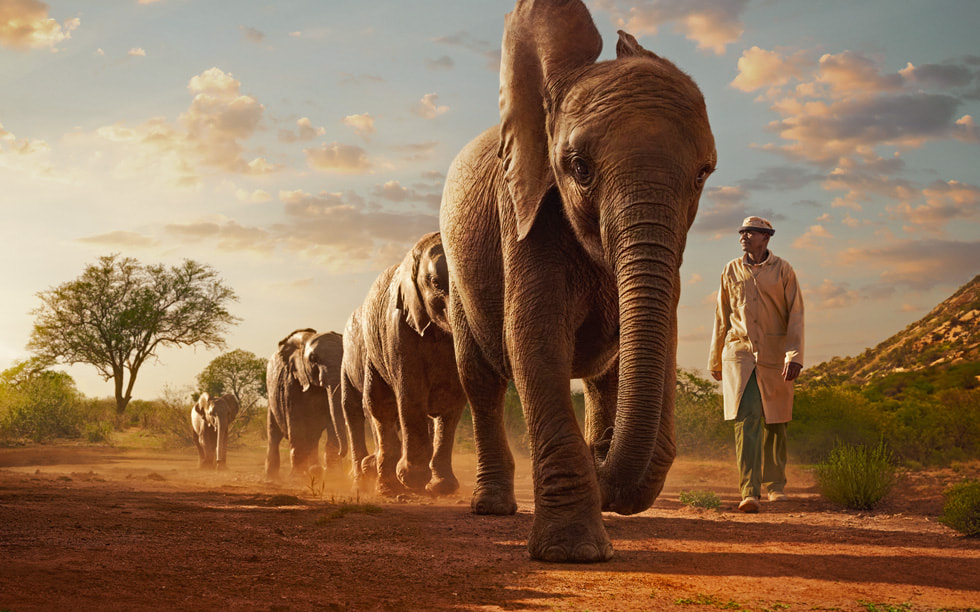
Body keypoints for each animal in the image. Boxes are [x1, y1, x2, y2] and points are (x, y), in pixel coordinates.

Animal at [266, 329, 346, 479]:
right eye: (313, 359)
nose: (341, 453)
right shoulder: (291, 383)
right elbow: (296, 424)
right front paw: (297, 477)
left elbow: (332, 423)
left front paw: (334, 476)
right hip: (272, 400)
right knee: (274, 436)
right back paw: (271, 479)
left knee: (312, 439)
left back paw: (314, 470)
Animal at [341, 231, 465, 497]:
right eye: (436, 283)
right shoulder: (397, 327)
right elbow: (411, 392)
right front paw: (412, 479)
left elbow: (452, 402)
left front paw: (442, 488)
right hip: (370, 354)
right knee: (376, 406)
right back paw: (384, 485)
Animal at [438, 0, 716, 562]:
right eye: (579, 168)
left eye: (703, 173)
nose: (602, 451)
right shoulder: (522, 210)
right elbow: (535, 339)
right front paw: (574, 552)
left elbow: (665, 338)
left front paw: (603, 468)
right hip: (458, 278)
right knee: (480, 382)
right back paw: (494, 508)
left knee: (604, 375)